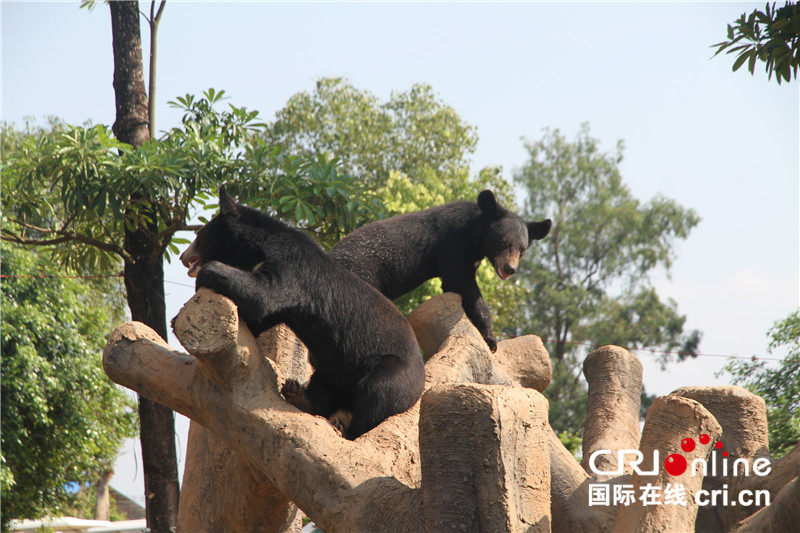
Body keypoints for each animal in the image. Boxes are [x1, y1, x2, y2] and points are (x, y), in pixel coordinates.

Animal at [177, 186, 424, 436]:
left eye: (199, 235)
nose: (182, 256)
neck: (258, 249)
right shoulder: (281, 306)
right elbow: (261, 316)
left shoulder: (291, 267)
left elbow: (261, 294)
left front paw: (205, 277)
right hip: (332, 369)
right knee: (324, 388)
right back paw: (298, 395)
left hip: (394, 370)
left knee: (377, 395)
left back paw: (343, 428)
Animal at [330, 189, 552, 352]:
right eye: (503, 242)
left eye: (522, 249)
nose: (510, 268)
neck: (475, 236)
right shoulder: (452, 244)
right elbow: (460, 282)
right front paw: (490, 339)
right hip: (362, 274)